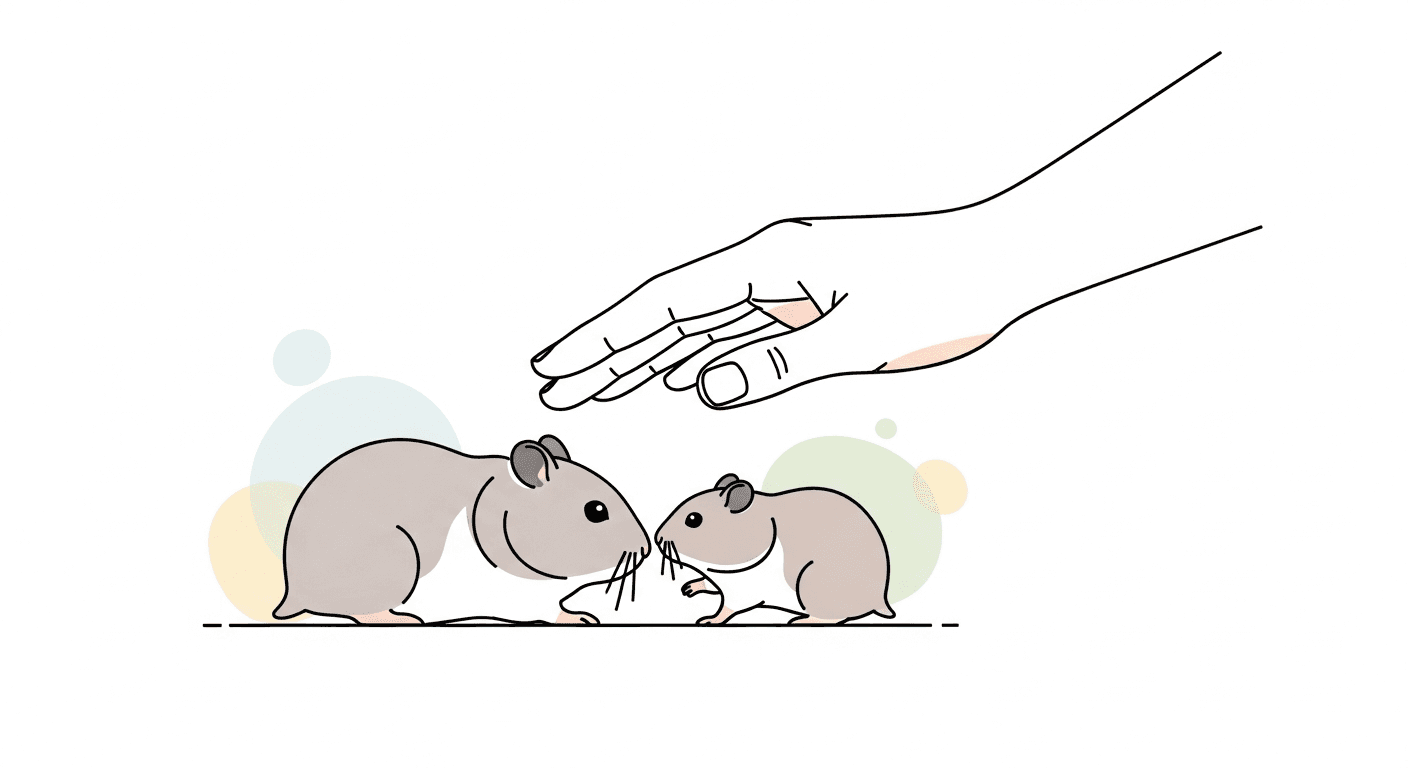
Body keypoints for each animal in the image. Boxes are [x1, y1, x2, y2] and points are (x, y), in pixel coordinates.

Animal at [273, 435, 650, 624]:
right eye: (596, 511)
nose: (645, 549)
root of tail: (292, 592)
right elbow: (546, 613)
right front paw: (583, 620)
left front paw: (585, 617)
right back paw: (407, 620)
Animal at [655, 474, 895, 624]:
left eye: (693, 519)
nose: (657, 538)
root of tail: (881, 600)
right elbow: (708, 584)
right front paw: (688, 588)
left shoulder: (742, 593)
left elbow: (726, 608)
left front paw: (707, 620)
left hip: (813, 587)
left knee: (836, 617)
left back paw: (799, 621)